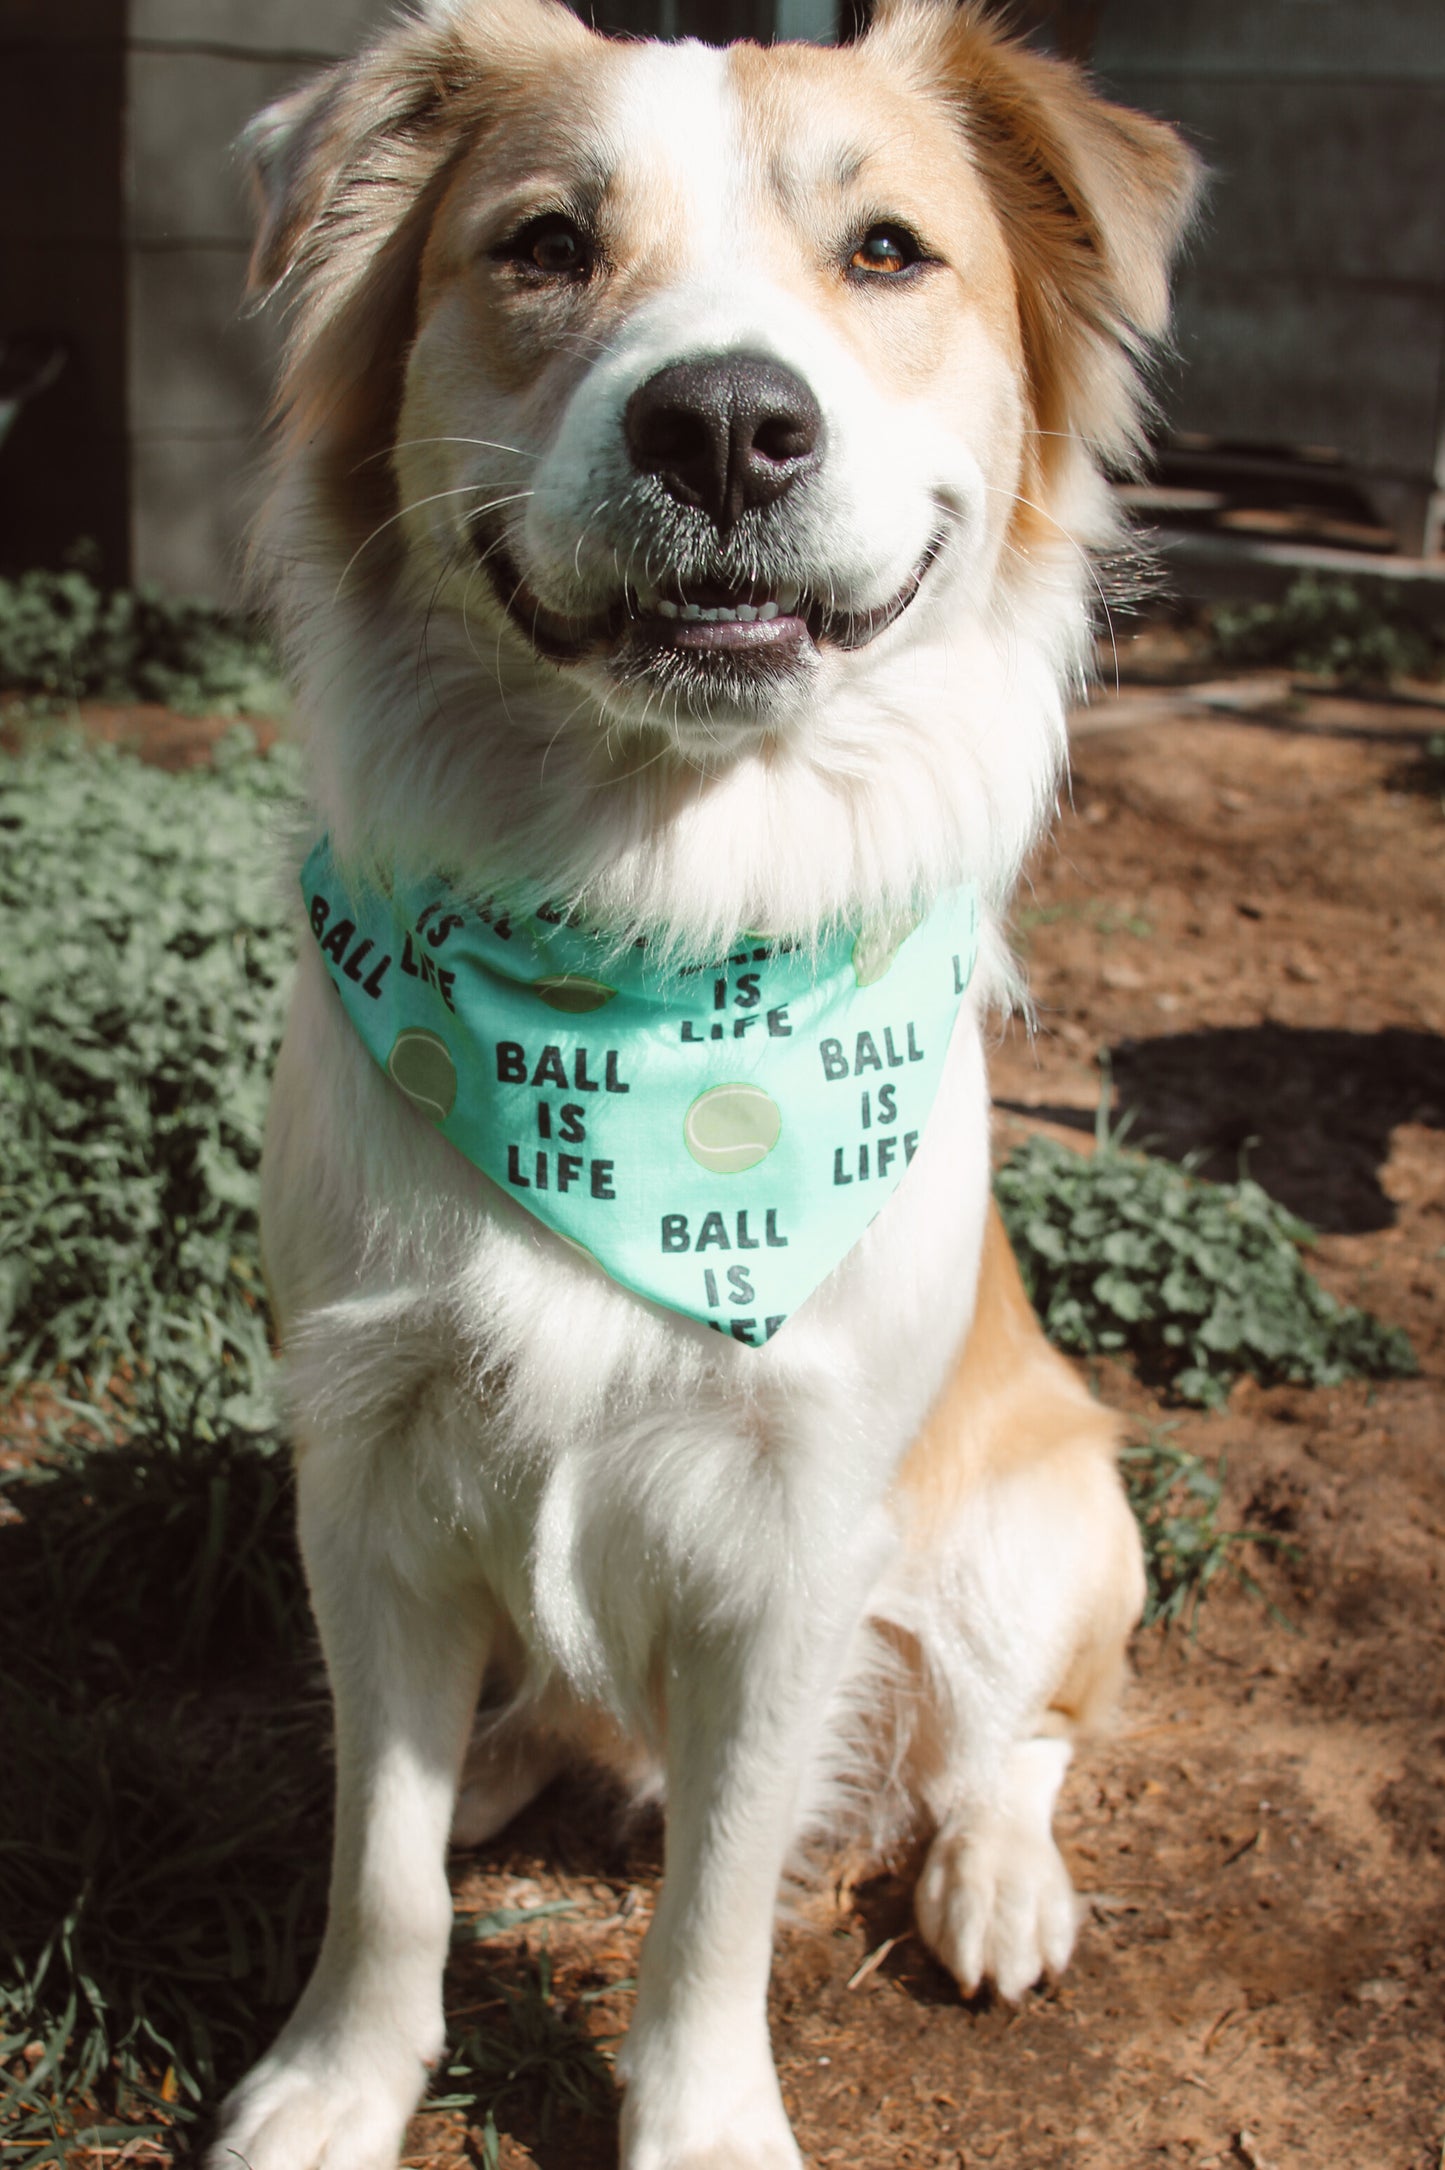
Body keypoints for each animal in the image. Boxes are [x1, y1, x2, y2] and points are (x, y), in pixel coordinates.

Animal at [208, 8, 1188, 2161]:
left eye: (889, 252)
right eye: (544, 245)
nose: (727, 425)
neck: (652, 948)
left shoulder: (794, 1538)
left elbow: (715, 1897)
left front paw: (701, 2116)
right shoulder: (366, 1470)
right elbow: (376, 1859)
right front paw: (339, 2080)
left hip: (1054, 1525)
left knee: (1016, 1735)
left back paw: (996, 1877)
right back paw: (504, 1754)